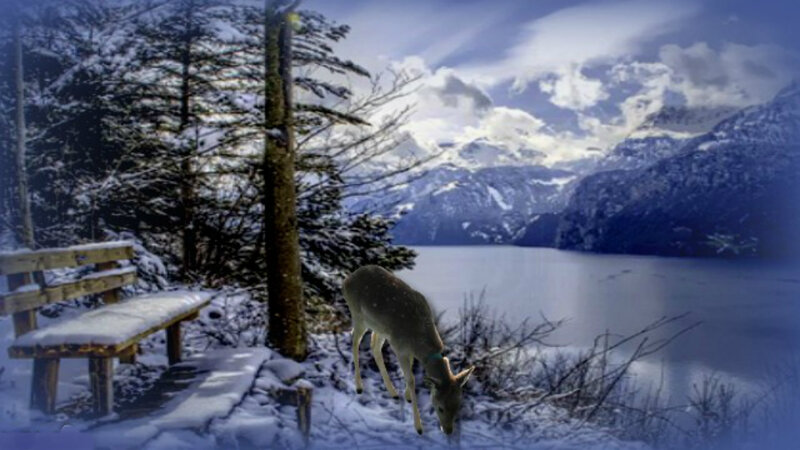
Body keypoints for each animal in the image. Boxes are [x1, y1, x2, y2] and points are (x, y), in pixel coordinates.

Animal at [342, 265, 475, 435]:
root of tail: (346, 280)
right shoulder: (399, 347)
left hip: (380, 328)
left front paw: (406, 396)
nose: (448, 430)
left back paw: (393, 392)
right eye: (440, 407)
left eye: (458, 406)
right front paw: (418, 427)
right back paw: (359, 386)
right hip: (358, 315)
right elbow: (411, 379)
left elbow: (410, 371)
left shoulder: (406, 349)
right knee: (355, 342)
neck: (419, 344)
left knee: (374, 346)